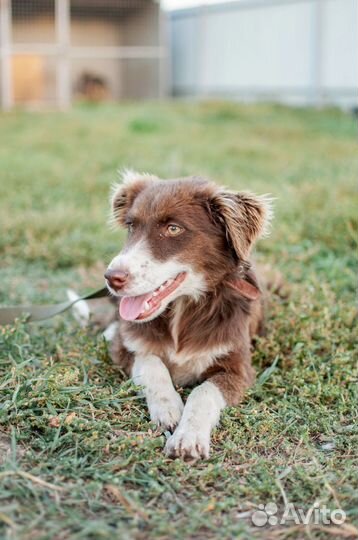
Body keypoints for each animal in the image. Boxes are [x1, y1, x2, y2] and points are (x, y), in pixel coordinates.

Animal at [96, 171, 272, 462]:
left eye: (173, 229)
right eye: (131, 226)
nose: (112, 278)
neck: (183, 308)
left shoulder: (238, 369)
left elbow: (204, 392)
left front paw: (188, 438)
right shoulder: (128, 348)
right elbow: (151, 363)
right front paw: (168, 409)